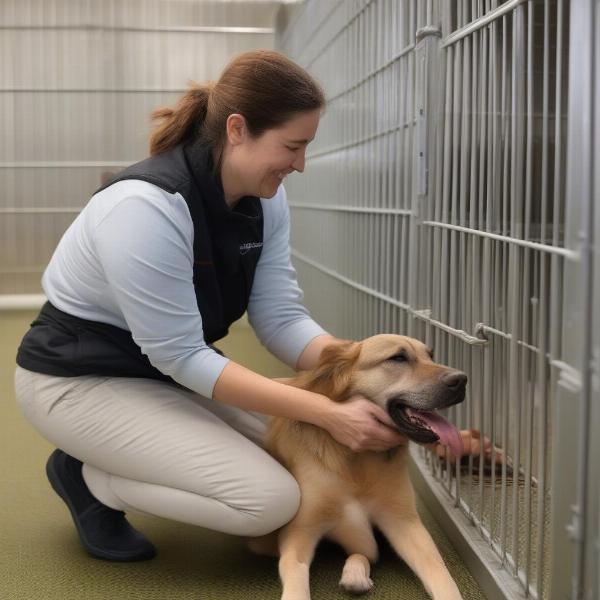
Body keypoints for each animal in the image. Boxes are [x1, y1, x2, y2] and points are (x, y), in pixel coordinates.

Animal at [246, 332, 466, 600]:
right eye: (398, 358)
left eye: (431, 355)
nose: (462, 379)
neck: (357, 462)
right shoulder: (299, 530)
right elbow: (294, 568)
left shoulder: (404, 521)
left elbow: (439, 571)